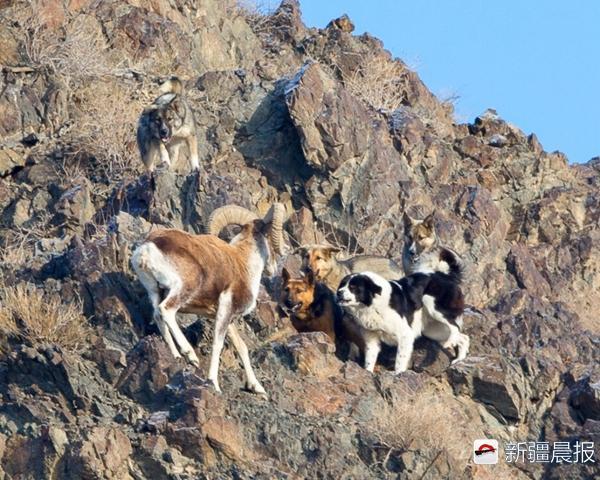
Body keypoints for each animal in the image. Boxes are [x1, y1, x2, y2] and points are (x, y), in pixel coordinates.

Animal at [130, 202, 284, 394]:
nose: (274, 268)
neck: (245, 265)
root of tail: (147, 249)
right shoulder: (225, 309)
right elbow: (217, 344)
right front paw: (214, 384)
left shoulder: (225, 316)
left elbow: (241, 347)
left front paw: (257, 388)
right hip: (184, 287)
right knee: (166, 311)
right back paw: (190, 355)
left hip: (154, 291)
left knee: (158, 316)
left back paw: (176, 356)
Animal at [338, 251, 468, 376]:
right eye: (342, 285)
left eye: (353, 287)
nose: (339, 292)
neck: (372, 303)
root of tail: (444, 275)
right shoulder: (371, 338)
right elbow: (370, 358)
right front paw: (368, 372)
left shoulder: (405, 335)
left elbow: (400, 359)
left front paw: (397, 374)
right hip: (433, 330)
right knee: (464, 338)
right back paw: (458, 360)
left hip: (431, 304)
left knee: (455, 328)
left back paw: (449, 343)